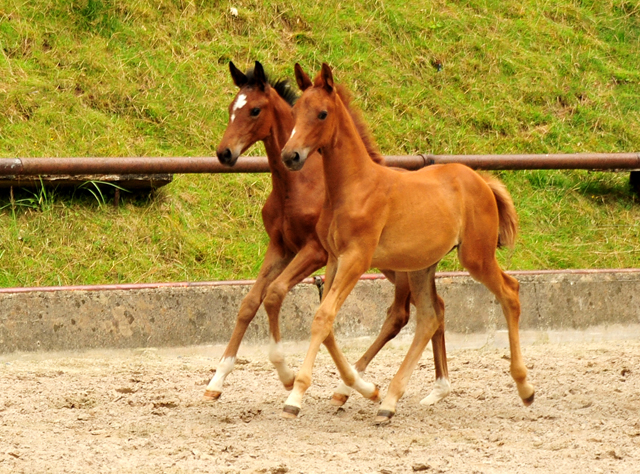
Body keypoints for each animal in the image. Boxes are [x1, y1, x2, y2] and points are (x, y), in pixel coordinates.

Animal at [204, 60, 450, 408]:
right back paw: (431, 387)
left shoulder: (315, 252)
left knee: (408, 313)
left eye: (254, 110)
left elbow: (275, 293)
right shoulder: (280, 247)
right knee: (429, 308)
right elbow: (250, 302)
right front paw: (217, 379)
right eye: (230, 109)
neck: (299, 184)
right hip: (396, 266)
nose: (224, 153)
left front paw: (287, 374)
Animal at [280, 63, 536, 422]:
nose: (290, 155)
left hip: (476, 256)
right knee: (430, 317)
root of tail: (481, 181)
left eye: (322, 113)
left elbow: (323, 317)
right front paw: (361, 388)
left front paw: (297, 396)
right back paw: (389, 400)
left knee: (509, 292)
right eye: (294, 111)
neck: (354, 186)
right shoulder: (334, 258)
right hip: (421, 265)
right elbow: (325, 321)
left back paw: (525, 388)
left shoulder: (356, 259)